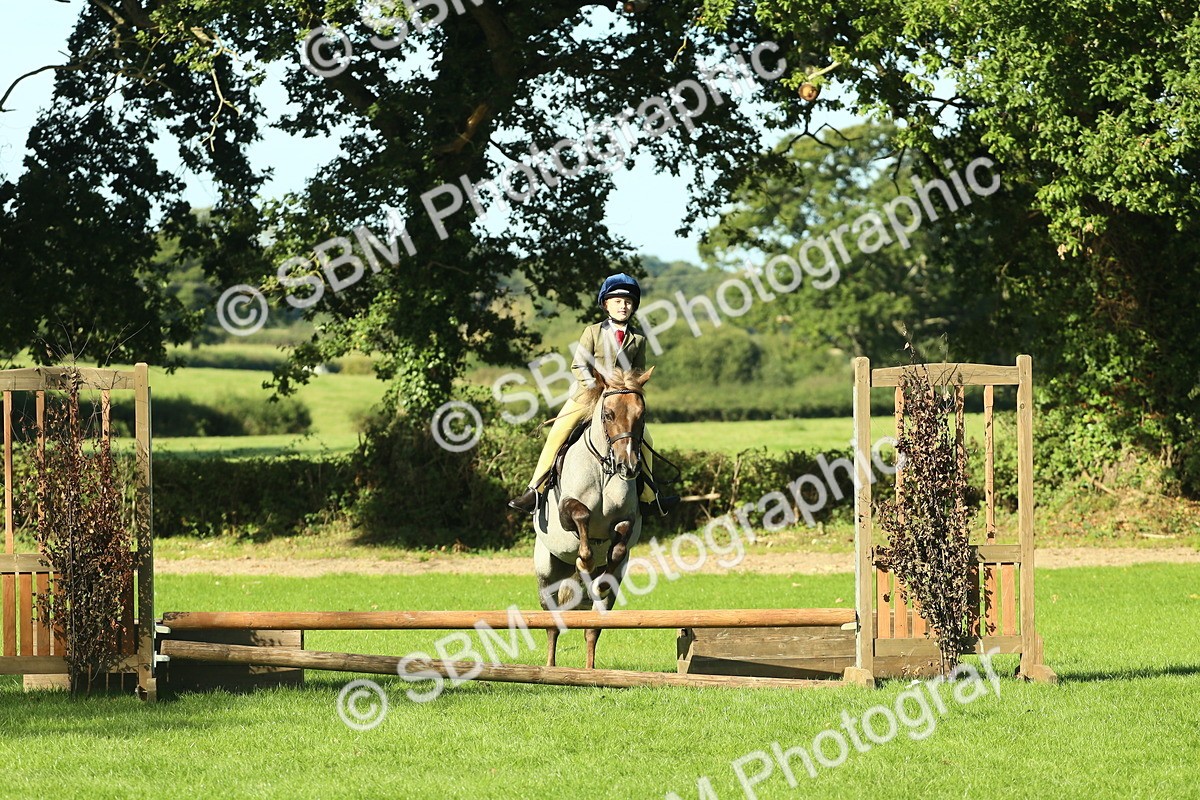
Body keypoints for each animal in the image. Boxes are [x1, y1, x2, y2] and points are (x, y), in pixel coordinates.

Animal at [532, 366, 654, 669]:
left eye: (641, 415)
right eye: (608, 414)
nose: (629, 466)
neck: (603, 467)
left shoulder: (627, 519)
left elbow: (619, 544)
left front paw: (599, 576)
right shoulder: (567, 510)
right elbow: (581, 514)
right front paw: (585, 560)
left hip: (607, 595)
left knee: (592, 627)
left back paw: (589, 669)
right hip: (547, 576)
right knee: (551, 623)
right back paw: (549, 668)